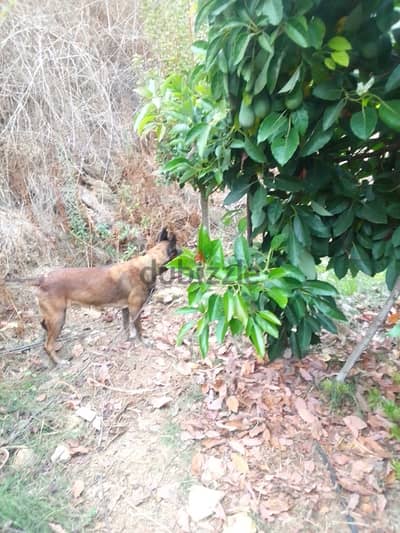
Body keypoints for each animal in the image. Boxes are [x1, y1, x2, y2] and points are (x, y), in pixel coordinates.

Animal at [31, 227, 180, 364]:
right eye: (179, 251)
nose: (186, 252)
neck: (147, 264)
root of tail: (42, 279)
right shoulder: (135, 308)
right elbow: (139, 328)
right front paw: (143, 342)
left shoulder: (126, 309)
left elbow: (127, 326)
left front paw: (128, 339)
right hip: (58, 318)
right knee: (48, 344)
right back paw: (59, 361)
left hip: (53, 317)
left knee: (44, 330)